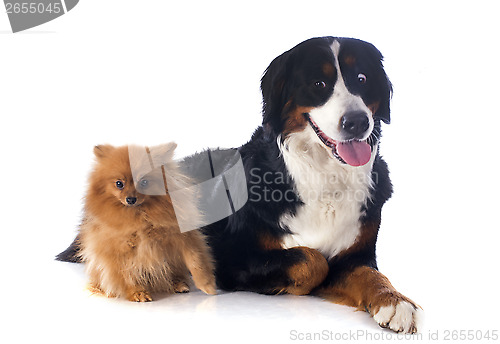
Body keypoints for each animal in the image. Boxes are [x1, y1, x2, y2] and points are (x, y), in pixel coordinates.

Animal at [68, 144, 215, 302]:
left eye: (144, 182)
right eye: (119, 184)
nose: (131, 199)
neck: (141, 217)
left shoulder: (182, 237)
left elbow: (196, 261)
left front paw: (207, 285)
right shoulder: (119, 250)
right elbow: (127, 274)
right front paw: (137, 292)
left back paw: (178, 284)